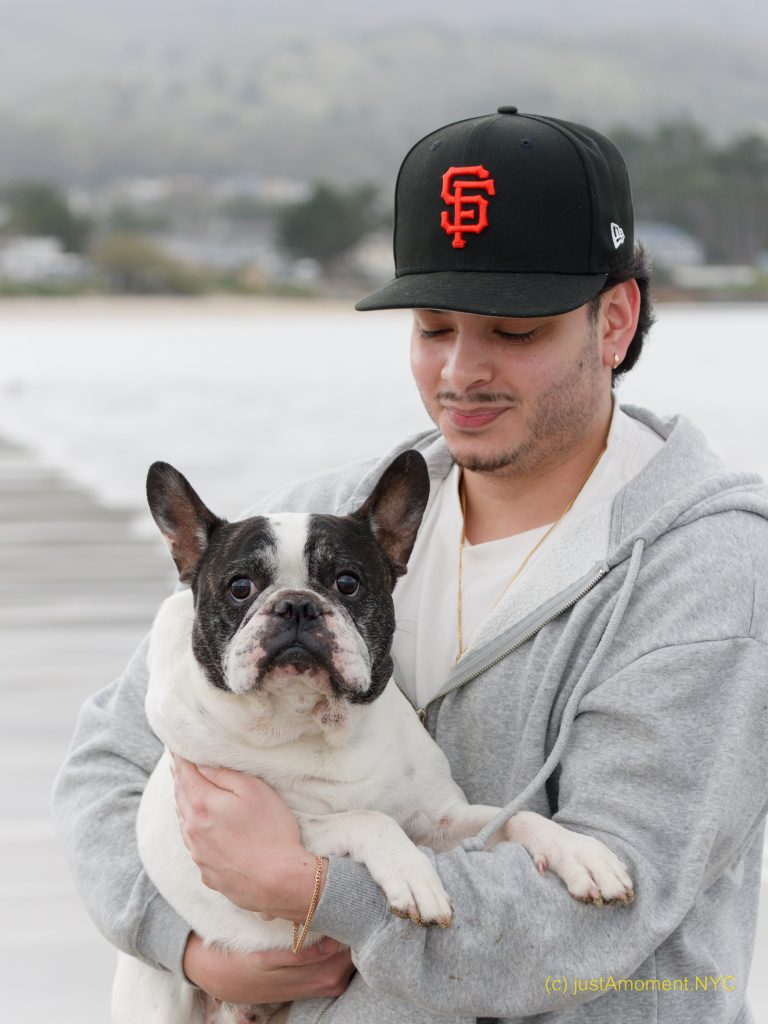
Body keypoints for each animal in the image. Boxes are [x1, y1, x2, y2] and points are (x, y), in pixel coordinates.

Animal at [111, 450, 633, 1024]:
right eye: (240, 587)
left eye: (347, 582)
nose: (296, 604)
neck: (315, 724)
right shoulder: (275, 831)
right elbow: (368, 819)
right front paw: (413, 875)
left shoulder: (440, 821)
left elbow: (517, 817)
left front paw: (581, 853)